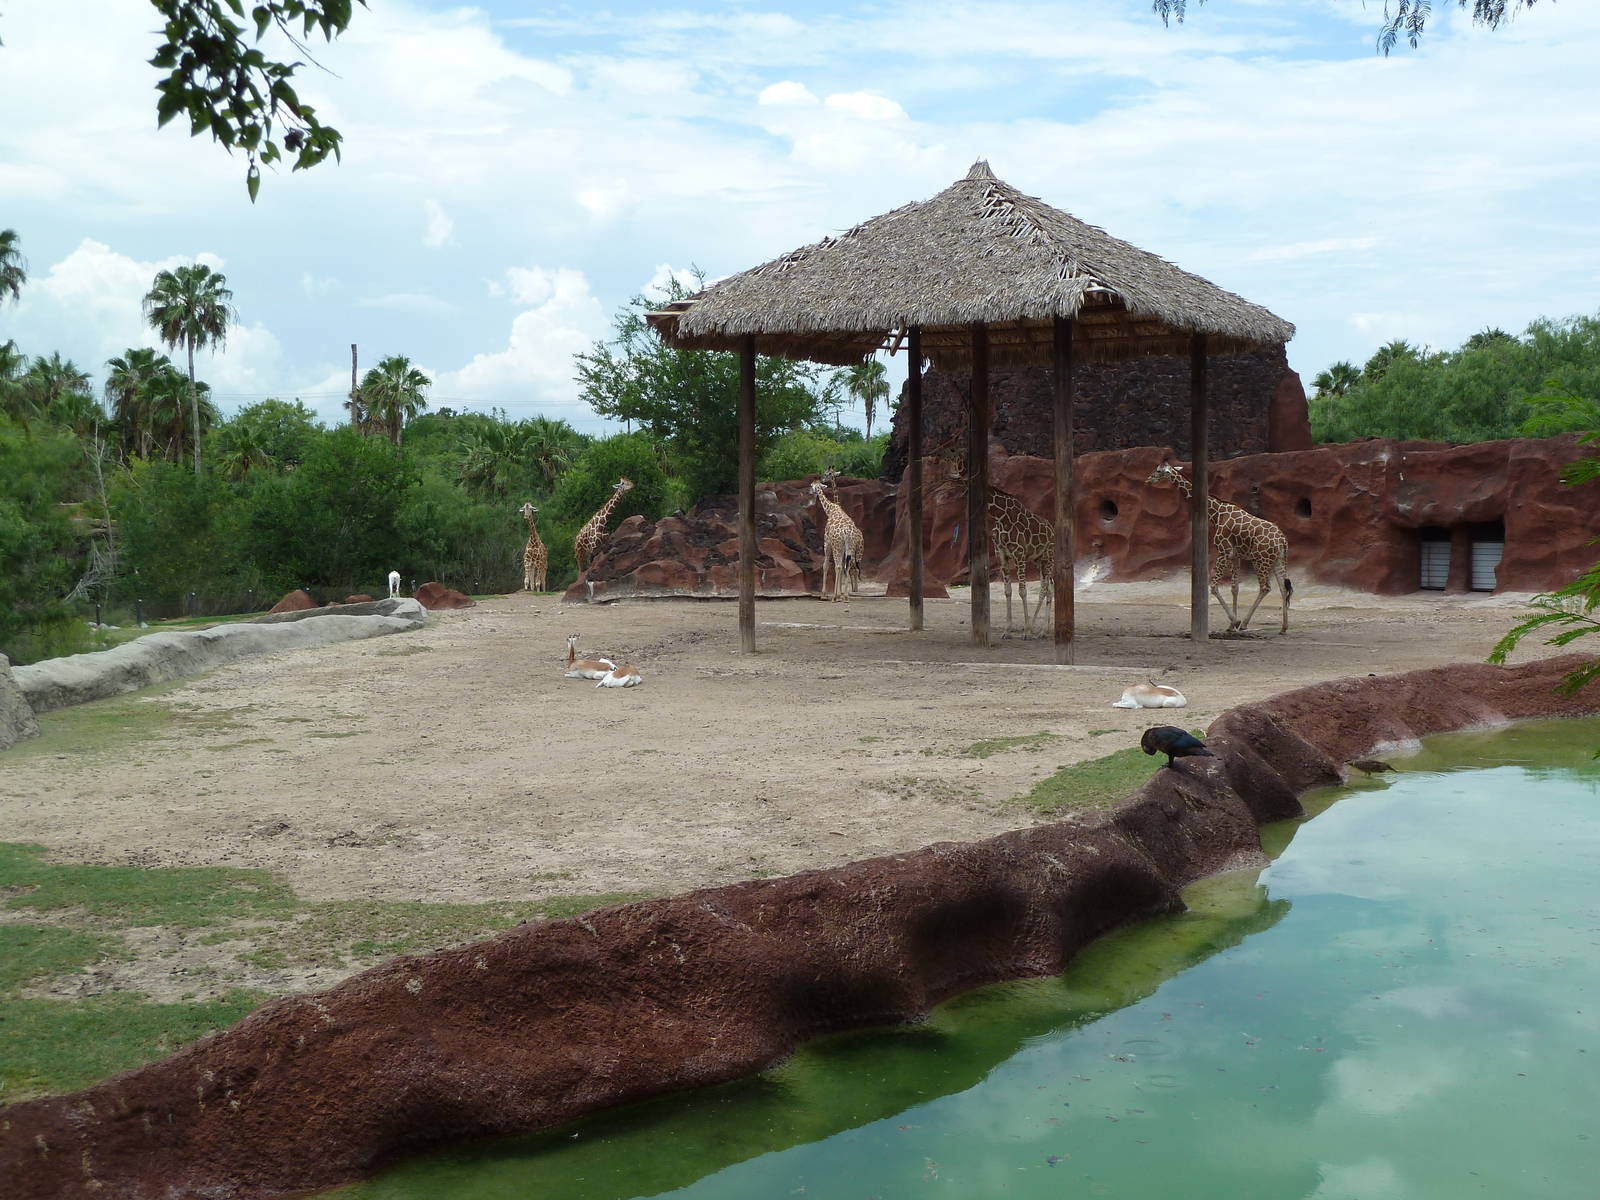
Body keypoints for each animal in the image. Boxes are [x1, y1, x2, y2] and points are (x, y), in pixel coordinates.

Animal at [1145, 462, 1292, 633]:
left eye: (1159, 470)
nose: (1148, 479)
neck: (1216, 514)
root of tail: (1282, 540)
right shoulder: (1236, 555)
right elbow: (1234, 588)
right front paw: (1231, 625)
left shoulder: (1224, 551)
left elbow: (1214, 587)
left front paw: (1235, 621)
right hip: (1278, 560)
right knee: (1283, 587)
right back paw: (1283, 627)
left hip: (1260, 560)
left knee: (1265, 587)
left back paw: (1245, 623)